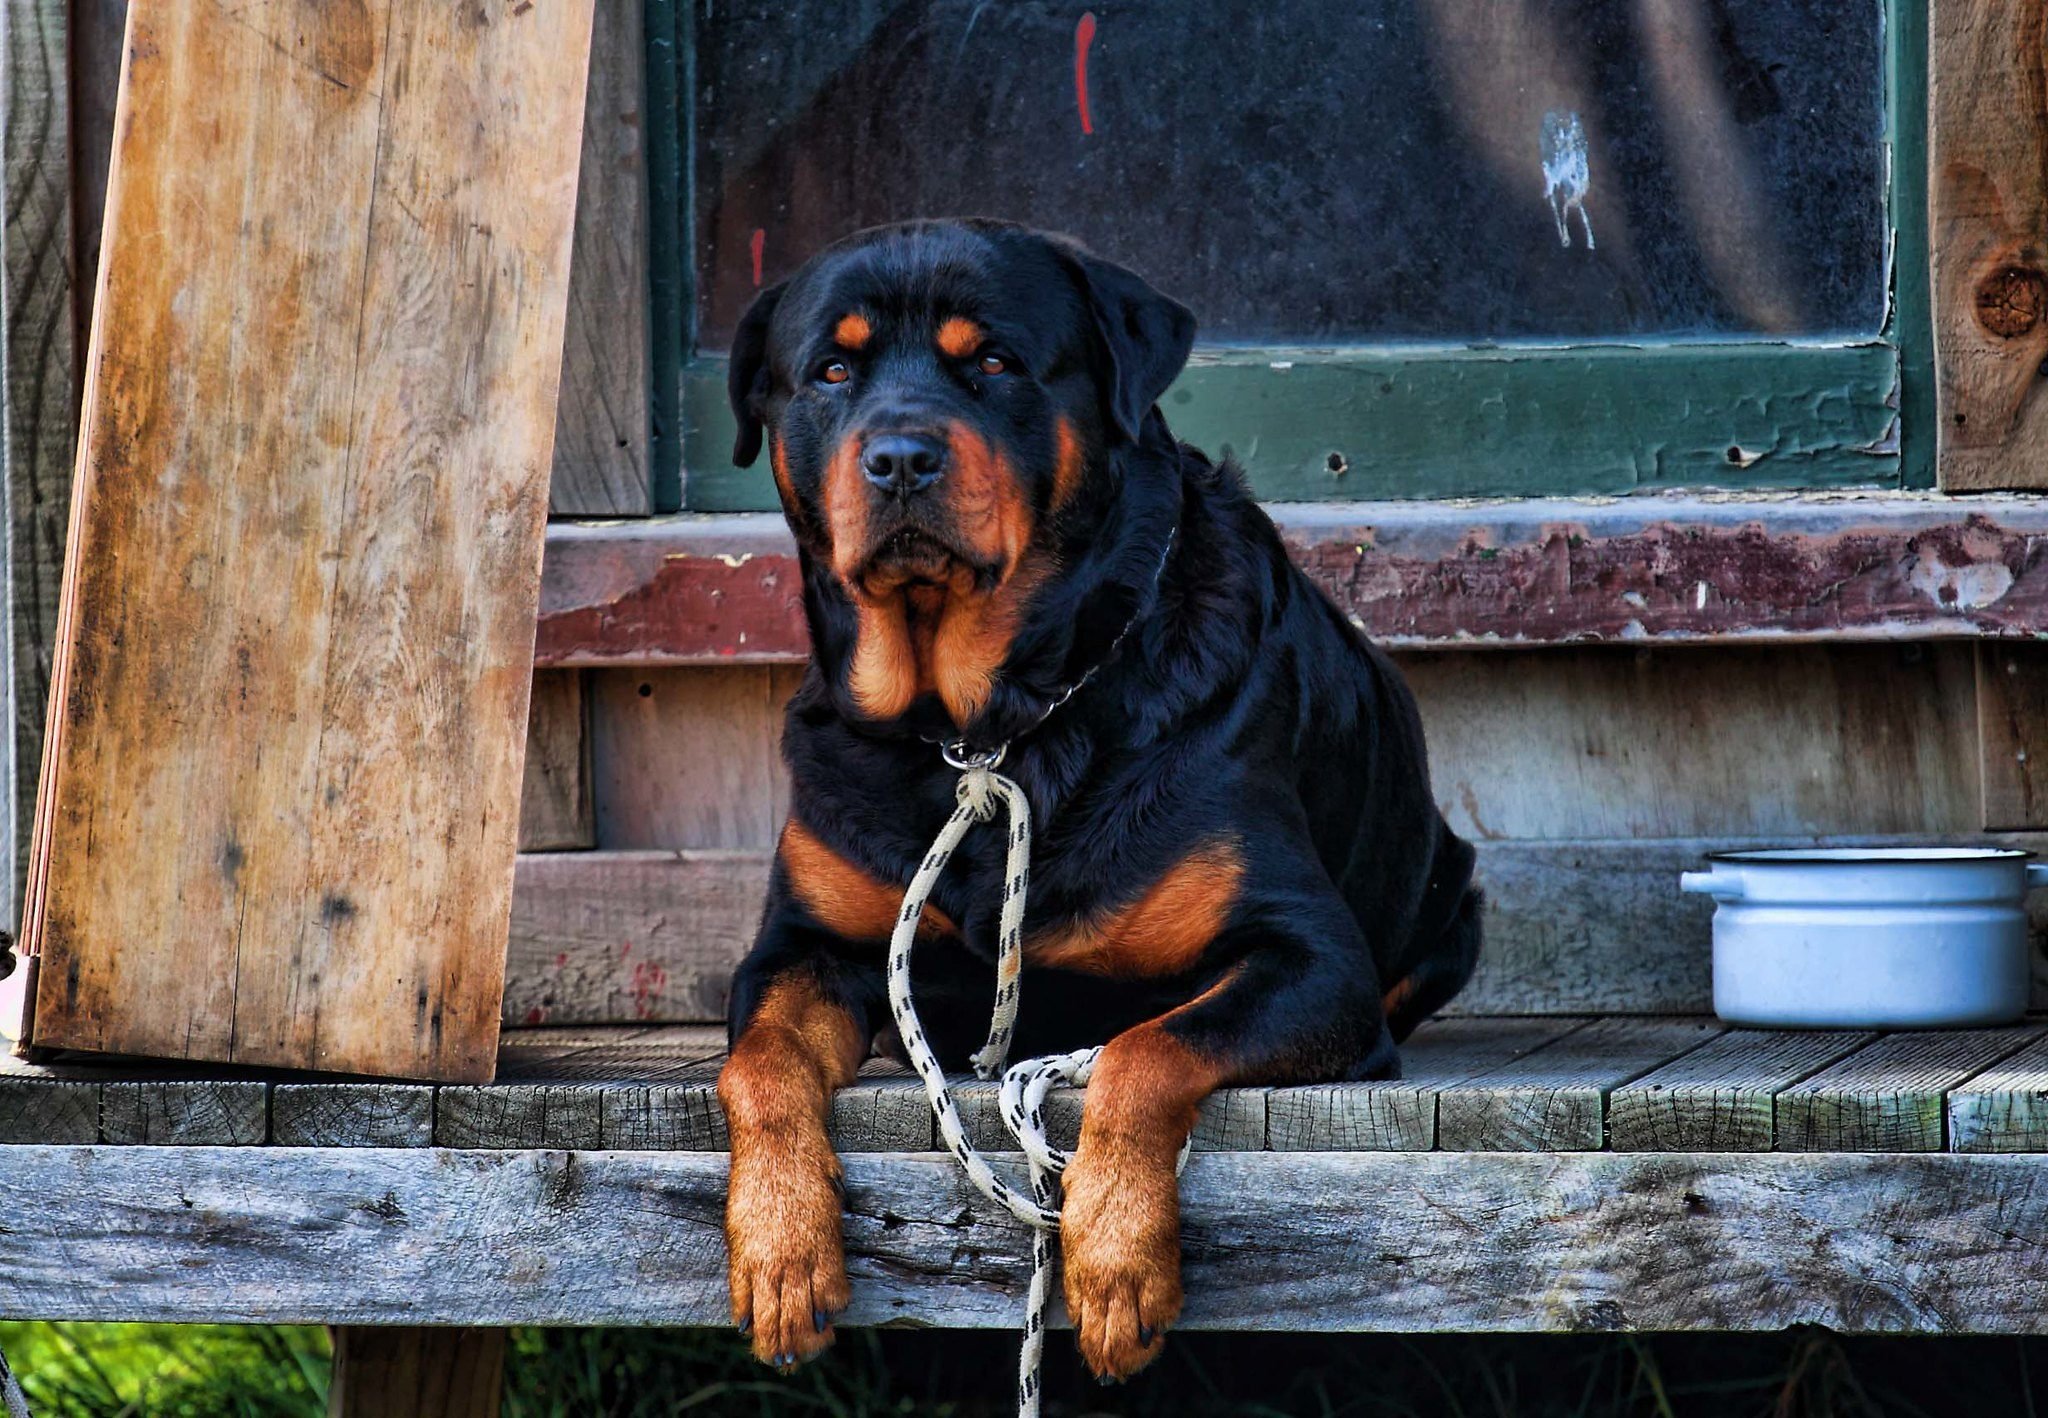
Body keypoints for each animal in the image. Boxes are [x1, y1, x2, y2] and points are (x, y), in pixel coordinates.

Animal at [717, 218, 1481, 1381]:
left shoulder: (1310, 959)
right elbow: (754, 1064)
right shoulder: (802, 943)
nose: (899, 457)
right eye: (833, 372)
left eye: (992, 362)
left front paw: (1116, 1258)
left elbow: (1145, 1047)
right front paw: (779, 1248)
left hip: (1451, 898)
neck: (994, 722)